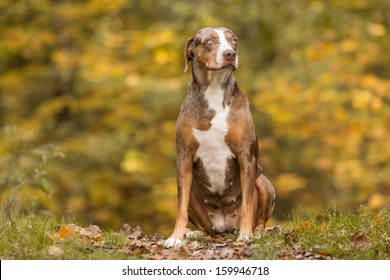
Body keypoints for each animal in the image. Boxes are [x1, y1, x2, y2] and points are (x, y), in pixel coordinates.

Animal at [166, 27, 276, 247]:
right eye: (209, 41)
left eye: (233, 41)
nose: (230, 54)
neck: (214, 91)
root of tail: (225, 226)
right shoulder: (184, 158)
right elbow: (180, 207)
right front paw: (175, 237)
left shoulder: (246, 156)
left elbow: (247, 204)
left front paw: (245, 235)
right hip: (195, 197)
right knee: (205, 226)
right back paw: (196, 233)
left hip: (264, 182)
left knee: (259, 218)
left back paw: (256, 232)